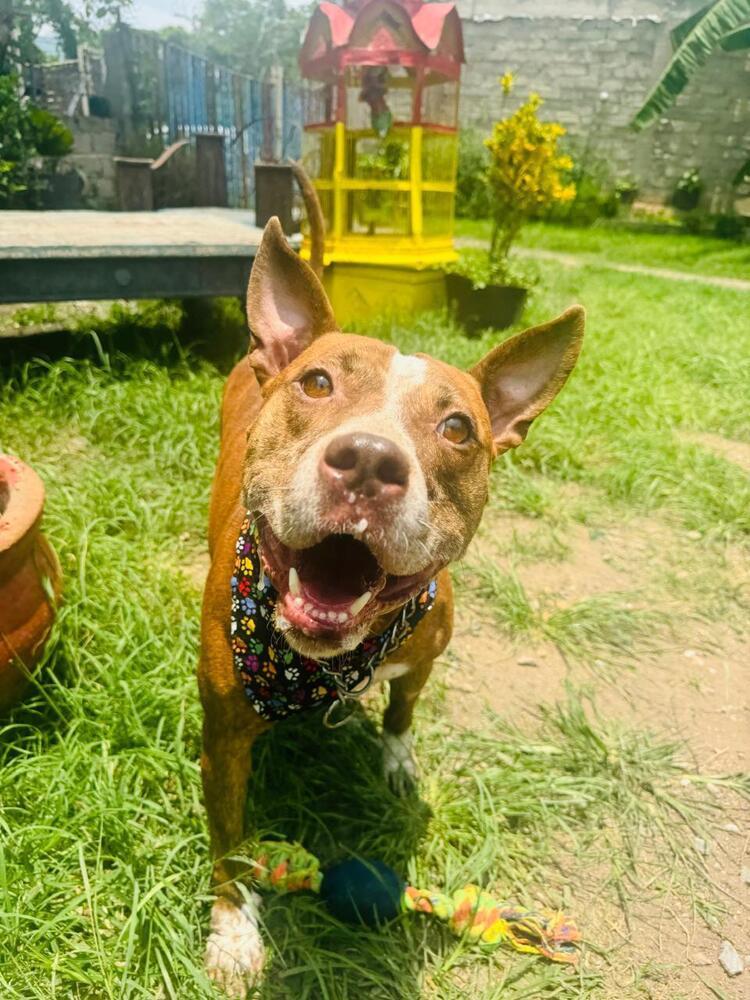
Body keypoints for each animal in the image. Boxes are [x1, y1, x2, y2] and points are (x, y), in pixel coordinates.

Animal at [197, 213, 584, 992]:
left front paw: (399, 761)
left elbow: (402, 711)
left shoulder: (423, 656)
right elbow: (230, 847)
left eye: (458, 428)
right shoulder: (221, 744)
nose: (372, 460)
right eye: (318, 383)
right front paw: (233, 932)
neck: (324, 663)